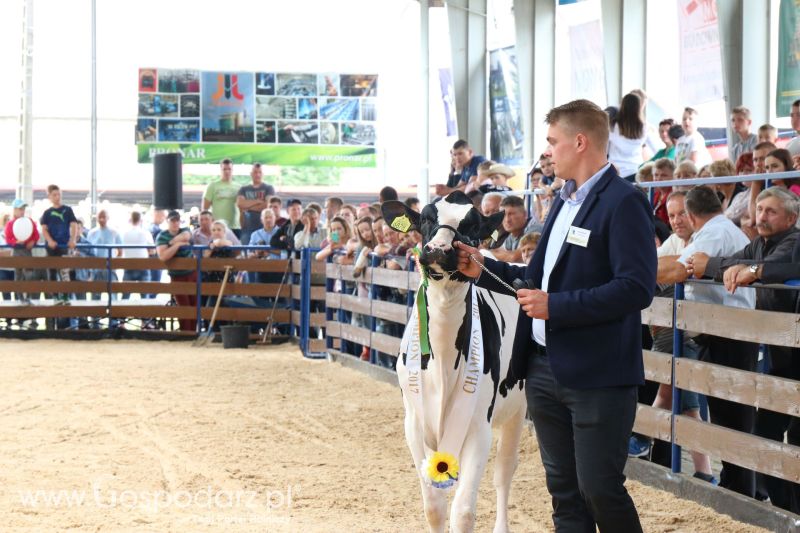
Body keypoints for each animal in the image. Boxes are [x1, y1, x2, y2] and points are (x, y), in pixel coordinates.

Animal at [384, 192, 528, 532]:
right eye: (426, 217)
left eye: (472, 224)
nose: (439, 248)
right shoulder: (414, 422)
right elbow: (434, 507)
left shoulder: (478, 426)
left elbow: (462, 511)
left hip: (519, 408)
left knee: (504, 472)